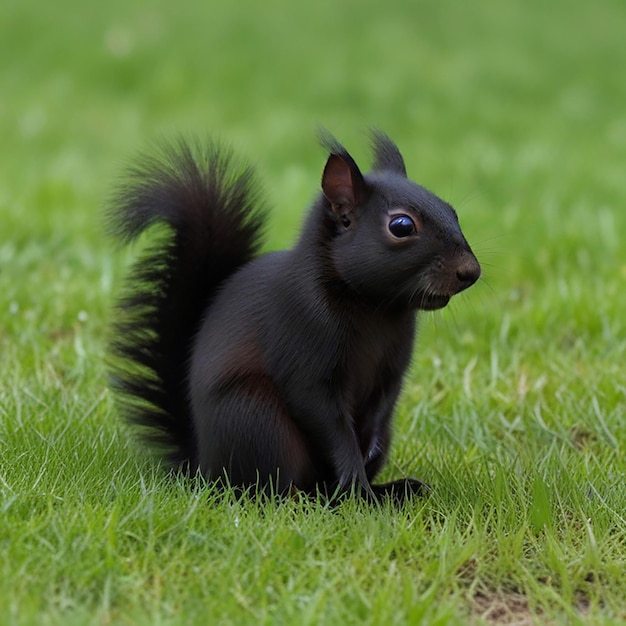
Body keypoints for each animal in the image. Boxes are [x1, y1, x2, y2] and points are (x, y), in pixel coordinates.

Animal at [108, 132, 478, 502]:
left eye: (453, 211)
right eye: (401, 226)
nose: (471, 272)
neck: (377, 307)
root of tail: (202, 466)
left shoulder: (391, 368)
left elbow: (381, 403)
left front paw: (366, 459)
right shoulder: (302, 341)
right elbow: (324, 416)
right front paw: (354, 479)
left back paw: (392, 490)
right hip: (254, 417)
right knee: (274, 490)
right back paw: (332, 499)